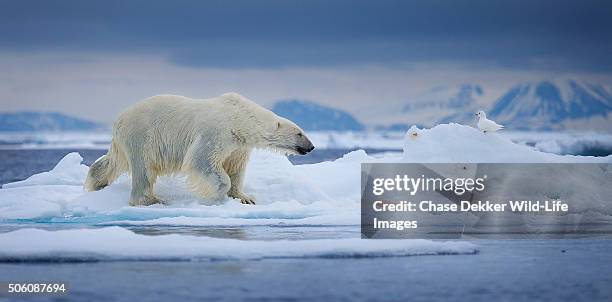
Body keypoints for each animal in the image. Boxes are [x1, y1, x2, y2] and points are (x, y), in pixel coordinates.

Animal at [85, 92, 316, 205]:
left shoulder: (238, 145)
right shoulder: (217, 131)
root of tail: (119, 120)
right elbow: (202, 160)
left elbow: (236, 168)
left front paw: (245, 198)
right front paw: (214, 194)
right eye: (300, 133)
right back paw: (152, 200)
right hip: (143, 135)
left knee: (112, 162)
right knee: (144, 169)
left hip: (126, 141)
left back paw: (96, 183)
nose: (312, 146)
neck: (240, 118)